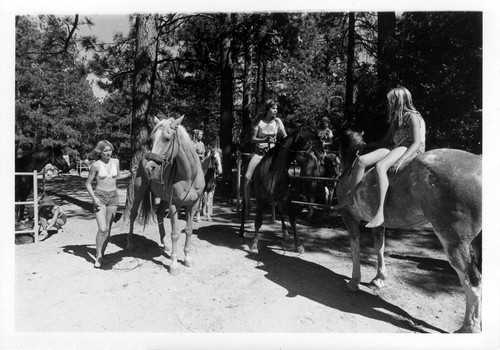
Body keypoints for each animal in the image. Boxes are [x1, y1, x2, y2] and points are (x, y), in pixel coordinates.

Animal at [127, 116, 205, 274]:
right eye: (151, 139)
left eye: (167, 139)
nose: (149, 168)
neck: (188, 176)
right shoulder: (174, 204)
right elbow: (175, 234)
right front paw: (174, 264)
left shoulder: (193, 205)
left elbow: (189, 230)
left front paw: (187, 258)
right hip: (139, 191)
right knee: (133, 213)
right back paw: (130, 244)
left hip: (163, 198)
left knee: (159, 215)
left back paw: (165, 244)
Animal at [336, 129, 480, 334]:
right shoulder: (377, 223)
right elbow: (379, 247)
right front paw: (378, 279)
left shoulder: (349, 217)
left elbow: (355, 249)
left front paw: (354, 282)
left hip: (455, 243)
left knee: (472, 281)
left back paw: (468, 327)